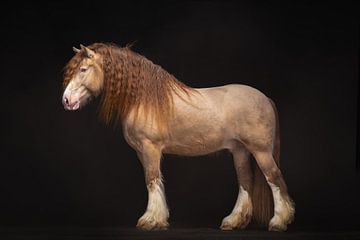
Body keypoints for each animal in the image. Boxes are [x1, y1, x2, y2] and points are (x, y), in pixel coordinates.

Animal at [62, 42, 294, 231]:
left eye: (83, 69)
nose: (66, 100)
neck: (144, 100)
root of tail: (265, 98)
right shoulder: (141, 152)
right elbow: (153, 180)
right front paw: (157, 218)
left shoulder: (150, 148)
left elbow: (152, 179)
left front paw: (151, 220)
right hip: (240, 151)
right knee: (245, 182)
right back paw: (234, 221)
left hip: (261, 151)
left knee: (274, 178)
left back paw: (279, 222)